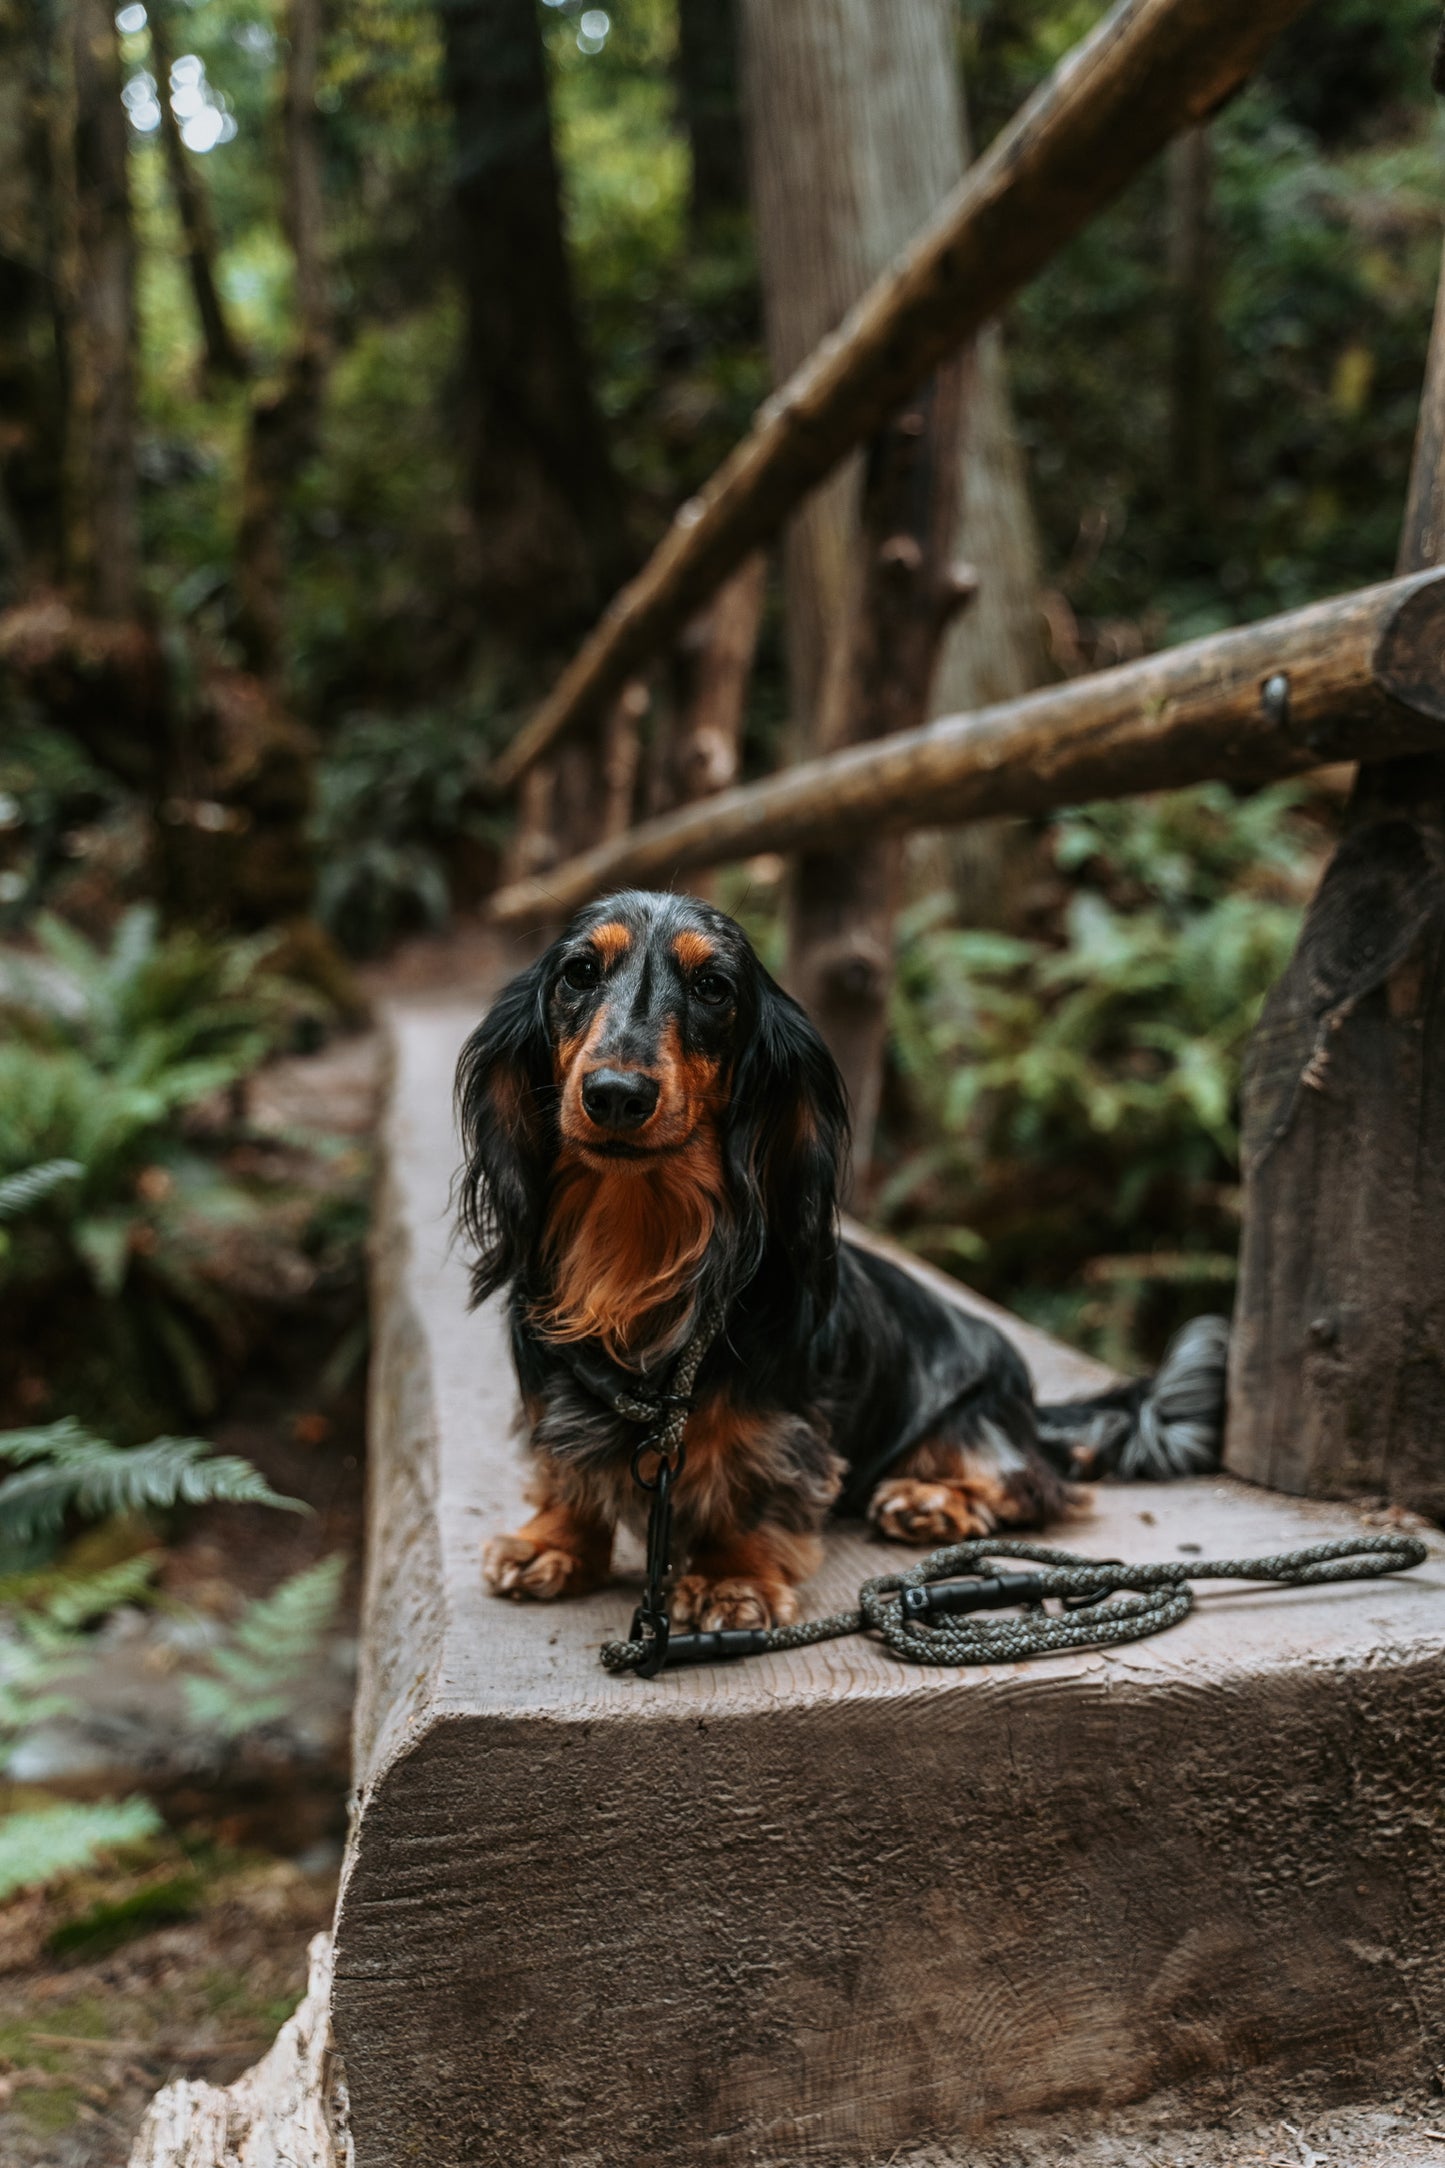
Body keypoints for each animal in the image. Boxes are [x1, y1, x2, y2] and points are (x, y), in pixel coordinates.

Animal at [457, 884, 1230, 1630]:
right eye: (580, 973)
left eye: (713, 986)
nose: (616, 1095)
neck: (637, 1244)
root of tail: (1028, 1406)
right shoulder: (554, 1389)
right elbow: (563, 1461)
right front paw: (552, 1542)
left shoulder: (777, 1422)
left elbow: (751, 1478)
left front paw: (731, 1576)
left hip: (973, 1413)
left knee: (1027, 1481)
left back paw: (930, 1499)